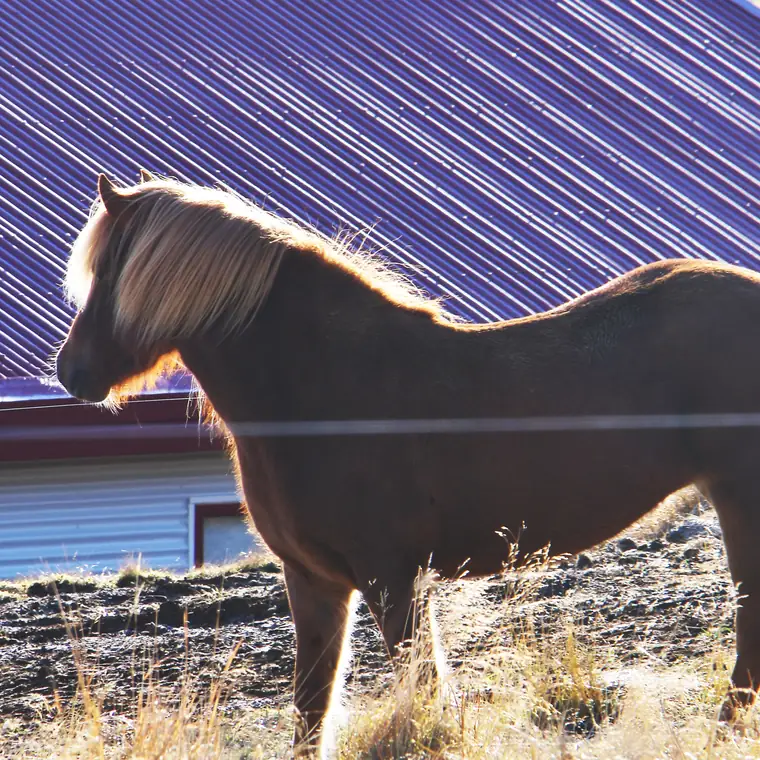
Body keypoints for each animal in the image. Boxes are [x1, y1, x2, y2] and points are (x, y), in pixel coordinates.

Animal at [56, 170, 760, 753]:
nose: (71, 372)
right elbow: (311, 709)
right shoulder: (315, 582)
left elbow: (424, 693)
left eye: (110, 274)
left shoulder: (391, 577)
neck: (319, 387)